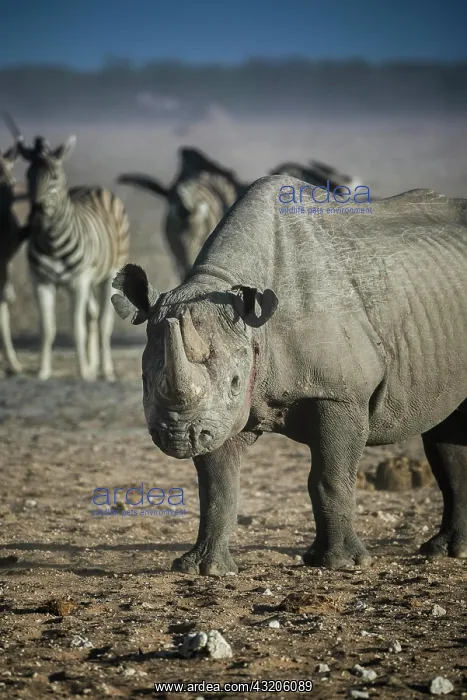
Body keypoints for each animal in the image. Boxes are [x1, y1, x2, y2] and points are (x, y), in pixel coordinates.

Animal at [111, 175, 467, 575]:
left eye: (235, 383)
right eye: (144, 382)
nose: (177, 435)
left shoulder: (339, 392)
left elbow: (329, 478)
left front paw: (340, 563)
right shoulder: (217, 416)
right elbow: (218, 487)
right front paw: (204, 569)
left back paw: (443, 552)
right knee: (445, 428)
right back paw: (446, 551)